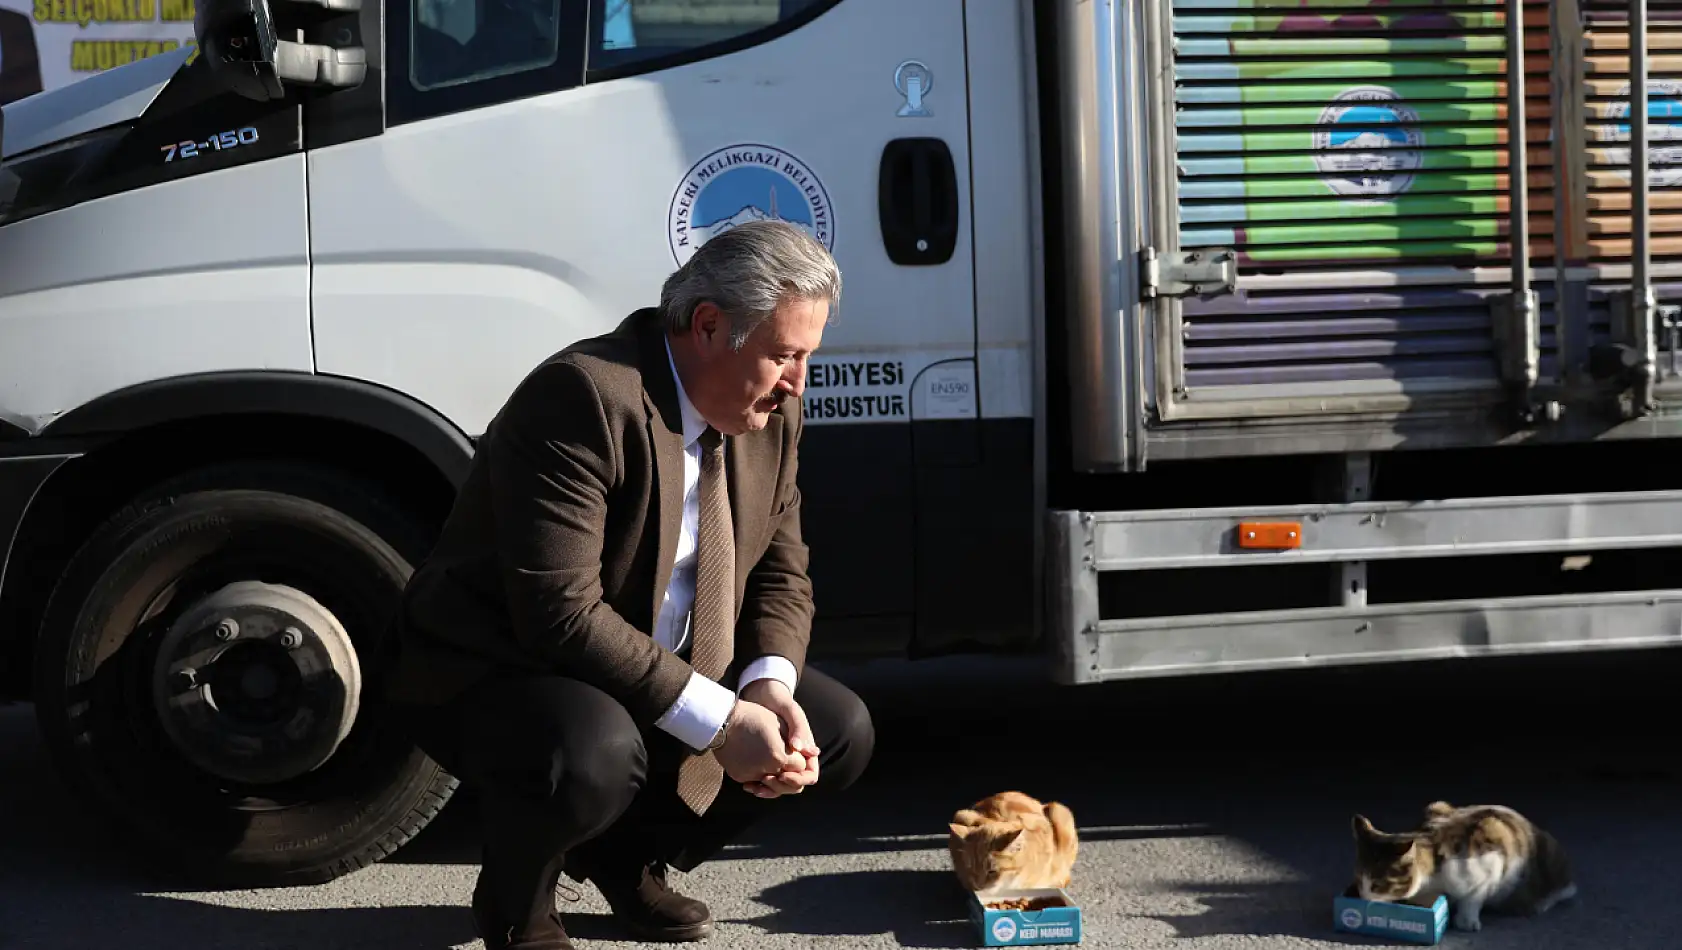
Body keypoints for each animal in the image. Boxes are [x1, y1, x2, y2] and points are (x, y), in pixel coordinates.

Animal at [1352, 796, 1574, 928]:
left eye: (1377, 884)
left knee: (1565, 890)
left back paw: (1540, 903)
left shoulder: (1493, 855)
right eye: (1359, 879)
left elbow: (1474, 896)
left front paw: (1466, 921)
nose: (1361, 897)